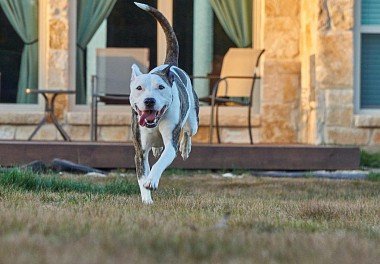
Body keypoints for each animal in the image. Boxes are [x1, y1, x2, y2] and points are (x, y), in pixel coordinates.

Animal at [129, 2, 199, 204]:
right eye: (139, 88)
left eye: (160, 87)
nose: (149, 101)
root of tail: (169, 65)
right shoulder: (140, 150)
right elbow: (141, 174)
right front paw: (147, 199)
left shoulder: (171, 142)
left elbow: (160, 163)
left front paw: (152, 180)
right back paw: (157, 148)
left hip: (193, 122)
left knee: (188, 132)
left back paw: (185, 147)